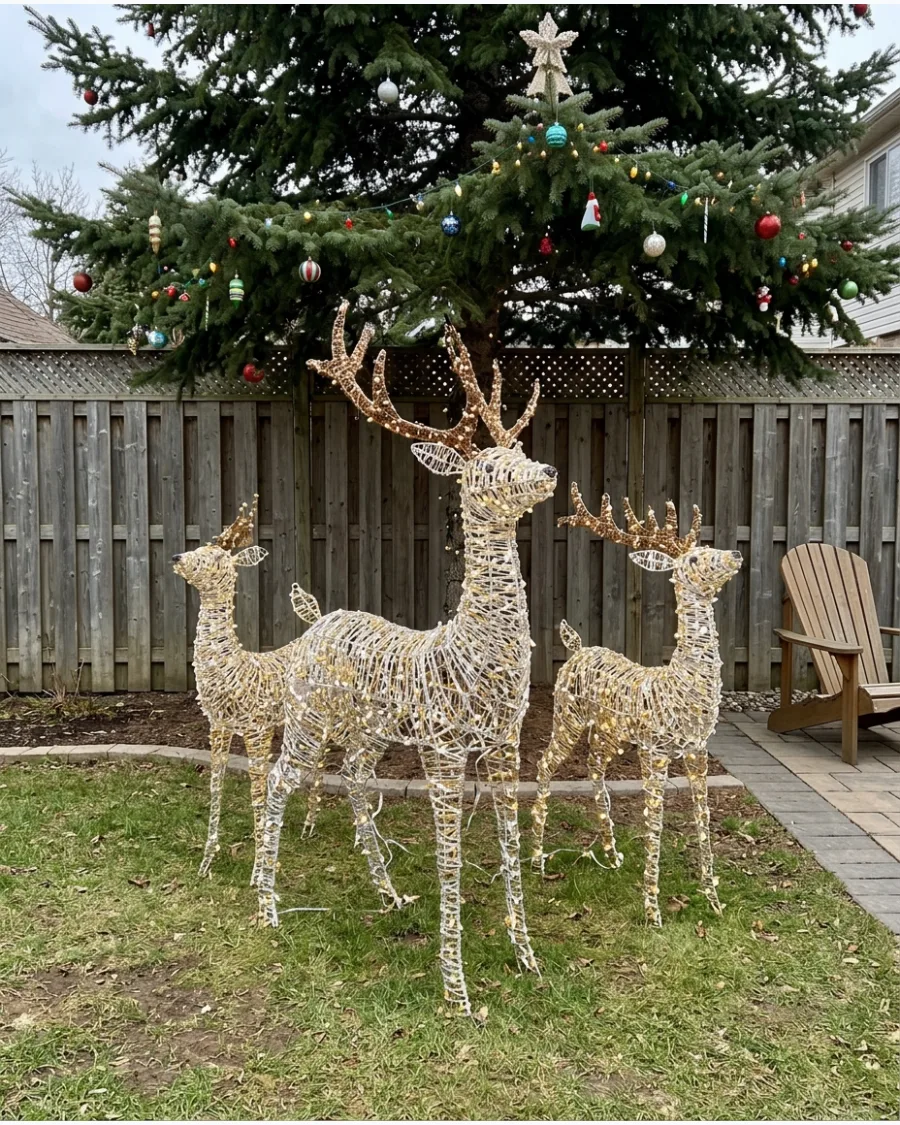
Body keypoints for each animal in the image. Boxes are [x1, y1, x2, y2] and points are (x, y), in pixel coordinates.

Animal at [172, 500, 324, 885]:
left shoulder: (258, 729)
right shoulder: (219, 726)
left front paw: (258, 872)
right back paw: (309, 827)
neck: (234, 662)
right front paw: (206, 863)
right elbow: (216, 786)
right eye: (199, 549)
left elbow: (257, 790)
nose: (177, 556)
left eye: (214, 558)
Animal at [255, 302, 558, 1015]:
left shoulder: (504, 744)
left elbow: (509, 846)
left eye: (518, 449)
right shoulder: (444, 748)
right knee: (281, 781)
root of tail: (317, 619)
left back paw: (388, 894)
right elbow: (451, 857)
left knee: (356, 780)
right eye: (487, 470)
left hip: (368, 731)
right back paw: (268, 909)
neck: (477, 645)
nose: (548, 474)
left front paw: (528, 959)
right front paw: (458, 991)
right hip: (308, 719)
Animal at [531, 487, 742, 926]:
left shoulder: (698, 749)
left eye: (707, 547)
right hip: (567, 718)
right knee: (544, 765)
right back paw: (537, 859)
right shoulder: (655, 750)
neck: (683, 682)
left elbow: (703, 817)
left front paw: (714, 902)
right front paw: (652, 911)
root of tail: (577, 649)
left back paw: (611, 854)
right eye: (694, 559)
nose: (735, 554)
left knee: (593, 767)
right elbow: (655, 821)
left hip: (608, 733)